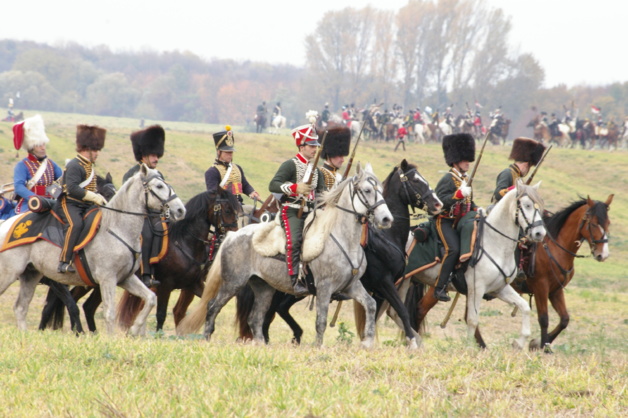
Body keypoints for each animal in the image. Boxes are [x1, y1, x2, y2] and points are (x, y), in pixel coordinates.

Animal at [0, 165, 186, 334]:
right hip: (10, 273)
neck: (117, 228)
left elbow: (151, 298)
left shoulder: (126, 278)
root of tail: (7, 224)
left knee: (21, 308)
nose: (180, 210)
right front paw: (111, 341)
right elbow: (109, 313)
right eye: (159, 186)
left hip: (30, 275)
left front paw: (133, 330)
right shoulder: (107, 279)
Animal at [177, 165, 392, 348]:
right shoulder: (324, 287)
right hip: (233, 283)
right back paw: (206, 337)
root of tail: (232, 236)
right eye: (367, 190)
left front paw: (368, 342)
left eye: (381, 189)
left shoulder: (351, 285)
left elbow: (371, 305)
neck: (343, 238)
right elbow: (321, 320)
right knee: (213, 306)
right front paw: (319, 347)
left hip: (263, 287)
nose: (386, 219)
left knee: (255, 318)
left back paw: (261, 345)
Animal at [233, 160, 444, 346]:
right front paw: (411, 341)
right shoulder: (383, 282)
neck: (386, 236)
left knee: (278, 309)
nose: (438, 204)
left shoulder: (385, 286)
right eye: (415, 180)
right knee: (271, 310)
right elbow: (400, 310)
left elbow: (382, 313)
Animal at [394, 181, 548, 348]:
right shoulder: (477, 289)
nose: (540, 233)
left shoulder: (500, 289)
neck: (494, 243)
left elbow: (525, 307)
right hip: (402, 282)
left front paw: (519, 343)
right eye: (527, 205)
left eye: (540, 206)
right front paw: (469, 348)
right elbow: (472, 320)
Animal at [512, 194, 612, 352]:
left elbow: (565, 319)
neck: (555, 248)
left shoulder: (555, 290)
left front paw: (539, 343)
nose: (603, 255)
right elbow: (544, 319)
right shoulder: (541, 288)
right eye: (593, 224)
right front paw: (543, 345)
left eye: (608, 223)